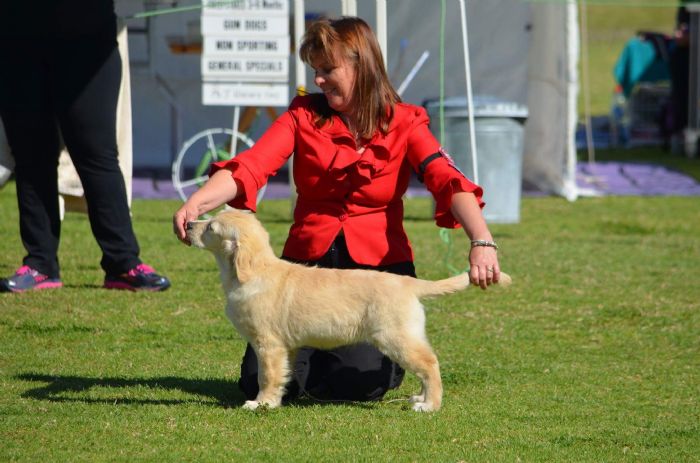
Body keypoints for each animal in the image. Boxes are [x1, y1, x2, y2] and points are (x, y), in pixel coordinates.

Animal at [186, 210, 511, 412]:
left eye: (211, 227)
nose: (188, 224)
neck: (253, 271)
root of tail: (407, 283)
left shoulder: (269, 344)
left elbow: (266, 376)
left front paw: (260, 403)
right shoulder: (285, 347)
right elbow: (282, 375)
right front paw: (275, 401)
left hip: (394, 336)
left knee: (430, 363)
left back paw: (429, 405)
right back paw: (420, 397)